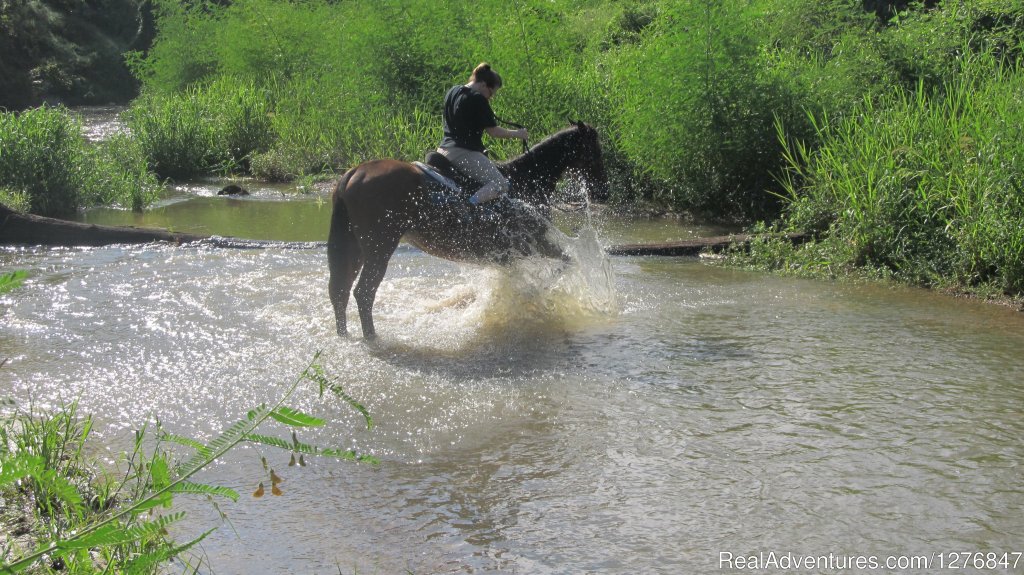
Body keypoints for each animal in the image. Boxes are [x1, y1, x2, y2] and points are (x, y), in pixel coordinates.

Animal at [327, 120, 606, 335]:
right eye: (595, 149)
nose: (603, 190)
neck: (526, 180)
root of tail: (354, 173)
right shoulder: (531, 244)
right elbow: (565, 262)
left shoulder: (508, 255)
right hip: (380, 247)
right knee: (363, 292)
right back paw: (372, 336)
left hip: (355, 247)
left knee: (340, 291)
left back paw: (345, 335)